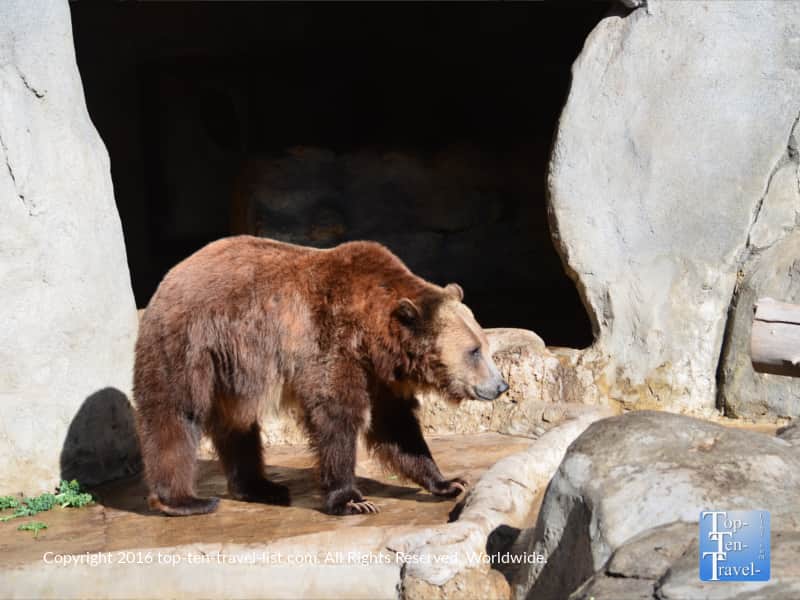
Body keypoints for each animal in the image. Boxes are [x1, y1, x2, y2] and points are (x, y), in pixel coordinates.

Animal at [133, 235, 509, 516]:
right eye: (474, 351)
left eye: (484, 344)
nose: (501, 385)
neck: (371, 333)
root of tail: (172, 274)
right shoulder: (328, 341)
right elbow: (337, 414)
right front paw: (352, 500)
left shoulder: (377, 374)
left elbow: (396, 425)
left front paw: (448, 482)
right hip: (191, 342)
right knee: (175, 412)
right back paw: (182, 500)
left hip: (233, 370)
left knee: (237, 425)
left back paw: (262, 487)